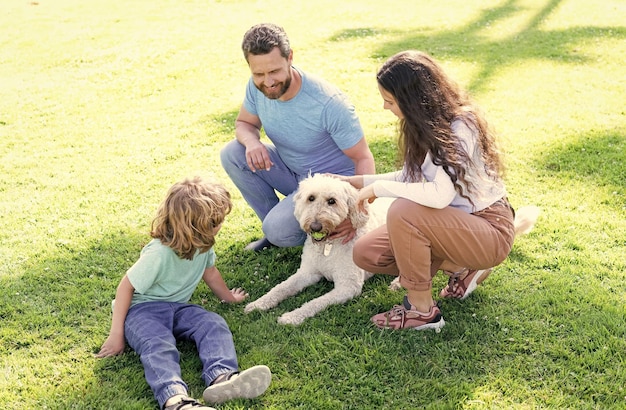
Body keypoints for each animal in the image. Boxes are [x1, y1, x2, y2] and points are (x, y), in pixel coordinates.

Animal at [244, 175, 390, 326]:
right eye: (311, 198)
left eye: (332, 201)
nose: (315, 226)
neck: (327, 246)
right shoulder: (307, 273)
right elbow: (281, 287)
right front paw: (259, 303)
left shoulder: (348, 286)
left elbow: (315, 302)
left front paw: (292, 316)